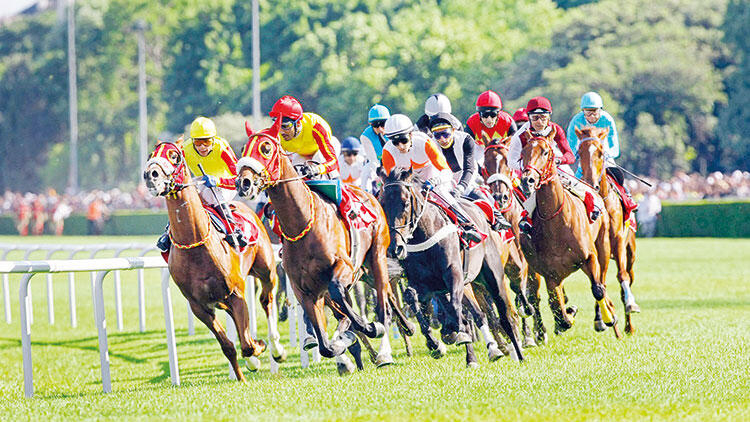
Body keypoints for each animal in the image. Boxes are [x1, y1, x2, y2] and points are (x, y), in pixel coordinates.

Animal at [144, 139, 284, 382]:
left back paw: (276, 348)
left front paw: (258, 350)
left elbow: (247, 344)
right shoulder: (199, 306)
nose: (150, 174)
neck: (195, 243)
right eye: (151, 154)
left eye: (174, 156)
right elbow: (229, 345)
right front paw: (243, 374)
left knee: (266, 300)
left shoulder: (236, 294)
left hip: (266, 271)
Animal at [236, 118, 402, 372]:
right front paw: (341, 345)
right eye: (244, 148)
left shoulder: (343, 267)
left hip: (376, 257)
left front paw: (367, 328)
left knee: (384, 304)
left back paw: (383, 350)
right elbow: (325, 345)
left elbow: (341, 295)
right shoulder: (303, 289)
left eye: (265, 148)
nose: (243, 183)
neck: (302, 222)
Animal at [524, 137, 624, 338]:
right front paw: (569, 314)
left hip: (603, 247)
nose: (528, 180)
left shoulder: (590, 257)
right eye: (523, 152)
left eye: (545, 152)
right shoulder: (551, 274)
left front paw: (608, 319)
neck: (556, 223)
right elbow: (559, 312)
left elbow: (597, 290)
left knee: (602, 282)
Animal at [576, 127, 640, 334]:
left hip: (630, 251)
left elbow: (621, 276)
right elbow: (600, 282)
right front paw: (601, 319)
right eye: (579, 152)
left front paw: (630, 304)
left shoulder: (617, 238)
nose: (590, 182)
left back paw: (629, 325)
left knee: (628, 276)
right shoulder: (595, 246)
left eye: (600, 152)